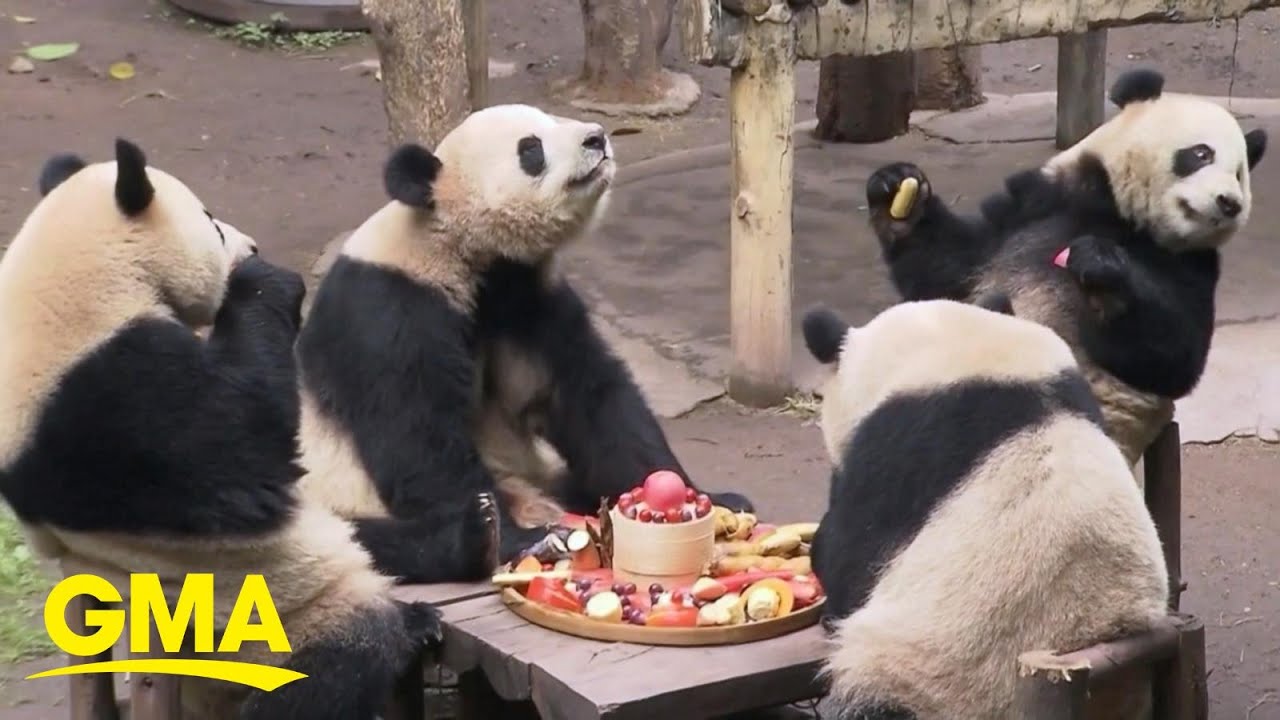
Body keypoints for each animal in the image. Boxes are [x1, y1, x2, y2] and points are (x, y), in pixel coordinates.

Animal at [0, 139, 442, 720]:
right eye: (210, 221)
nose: (250, 245)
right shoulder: (109, 390)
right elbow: (244, 447)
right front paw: (263, 279)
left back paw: (423, 623)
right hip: (275, 628)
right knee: (339, 664)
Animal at [294, 103, 753, 584]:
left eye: (553, 119)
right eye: (530, 148)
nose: (596, 138)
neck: (456, 247)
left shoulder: (527, 299)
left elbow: (590, 399)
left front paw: (703, 498)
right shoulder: (389, 310)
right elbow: (417, 434)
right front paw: (515, 538)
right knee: (360, 540)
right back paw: (472, 541)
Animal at [863, 67, 1268, 465]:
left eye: (1239, 174)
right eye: (1201, 154)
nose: (1230, 203)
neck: (1120, 213)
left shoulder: (1191, 265)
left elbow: (1175, 359)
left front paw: (1103, 273)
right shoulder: (1039, 203)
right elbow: (949, 273)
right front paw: (896, 195)